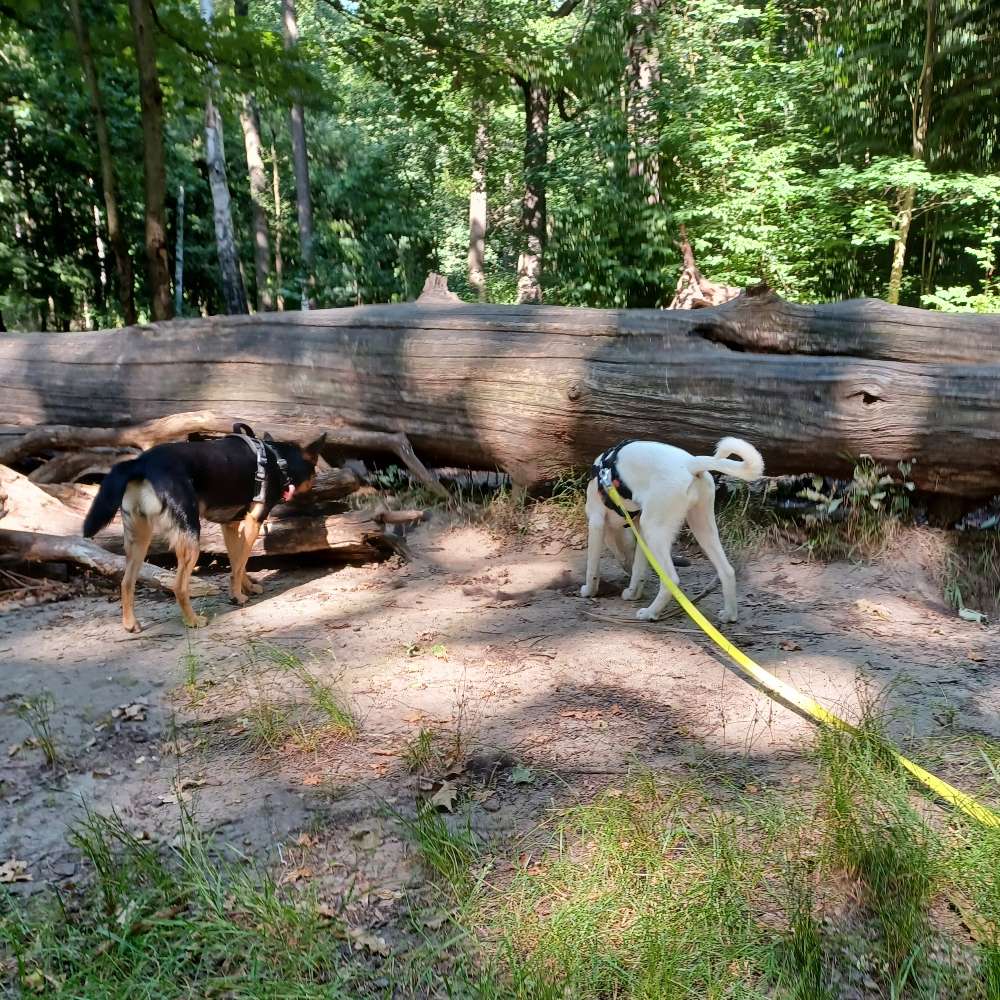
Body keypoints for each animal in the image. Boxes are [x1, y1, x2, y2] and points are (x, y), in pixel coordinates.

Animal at [83, 424, 324, 632]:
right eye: (314, 474)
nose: (315, 499)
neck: (278, 459)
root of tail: (141, 463)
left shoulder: (231, 526)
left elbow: (238, 562)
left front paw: (246, 587)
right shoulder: (253, 522)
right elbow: (239, 564)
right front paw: (237, 596)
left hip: (139, 538)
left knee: (126, 582)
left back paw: (130, 624)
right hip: (190, 538)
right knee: (179, 586)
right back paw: (192, 621)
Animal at [584, 440, 760, 624]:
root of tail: (691, 463)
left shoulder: (596, 522)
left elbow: (592, 569)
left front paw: (589, 591)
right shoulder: (640, 531)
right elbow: (639, 571)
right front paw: (633, 593)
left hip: (654, 529)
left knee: (671, 579)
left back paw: (651, 613)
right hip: (701, 526)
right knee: (727, 571)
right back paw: (729, 615)